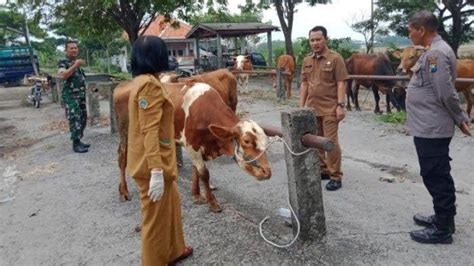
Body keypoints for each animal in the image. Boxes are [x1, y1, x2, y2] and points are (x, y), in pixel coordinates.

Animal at [112, 78, 272, 212]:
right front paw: (212, 202)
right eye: (246, 141)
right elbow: (204, 173)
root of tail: (124, 84)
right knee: (122, 158)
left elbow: (196, 170)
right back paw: (124, 191)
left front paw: (196, 194)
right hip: (126, 131)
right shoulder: (191, 144)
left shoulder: (199, 145)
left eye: (266, 141)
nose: (267, 172)